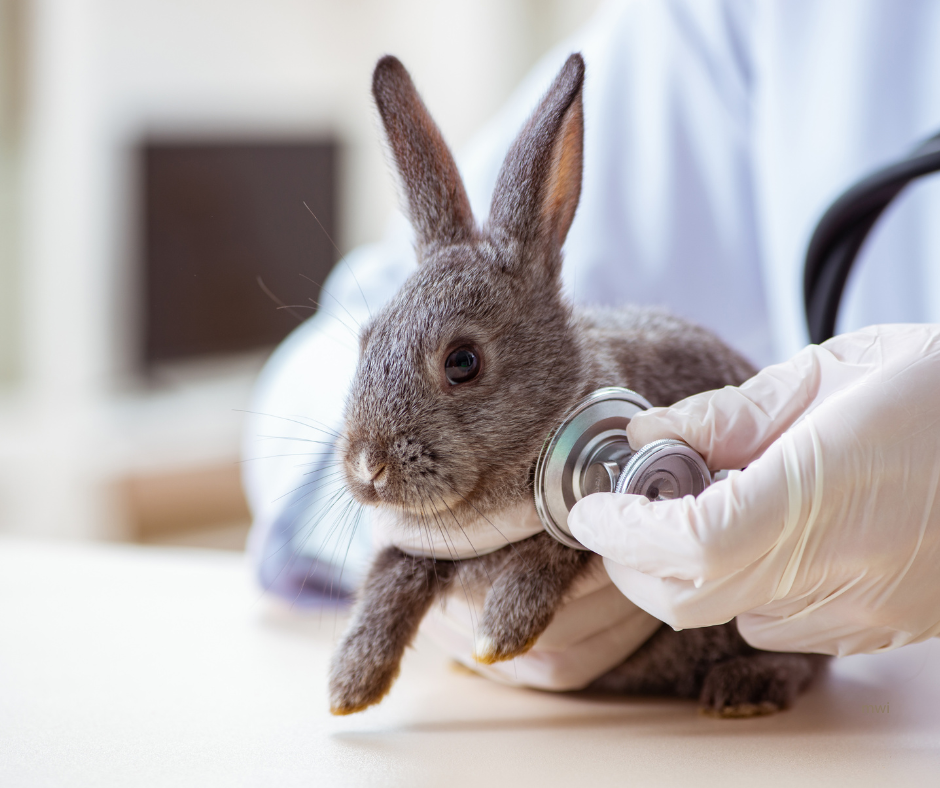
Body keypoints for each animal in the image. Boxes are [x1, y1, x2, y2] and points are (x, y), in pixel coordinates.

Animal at [328, 53, 826, 717]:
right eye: (365, 340)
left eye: (462, 361)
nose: (367, 467)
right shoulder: (419, 549)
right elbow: (391, 575)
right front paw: (349, 685)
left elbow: (561, 547)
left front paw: (499, 634)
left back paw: (744, 688)